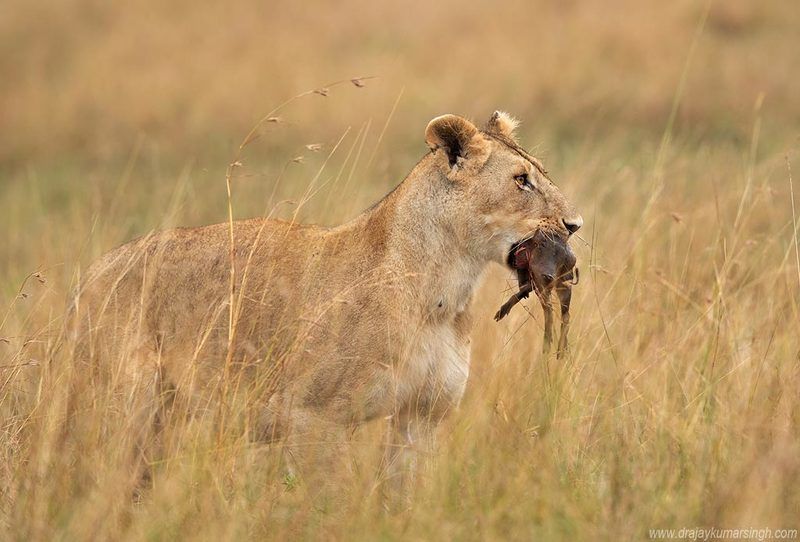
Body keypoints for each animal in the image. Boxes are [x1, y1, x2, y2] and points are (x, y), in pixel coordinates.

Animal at [68, 111, 582, 488]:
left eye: (540, 174)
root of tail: (90, 275)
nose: (575, 224)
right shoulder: (313, 418)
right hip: (123, 410)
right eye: (521, 180)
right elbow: (326, 501)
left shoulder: (421, 416)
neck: (444, 290)